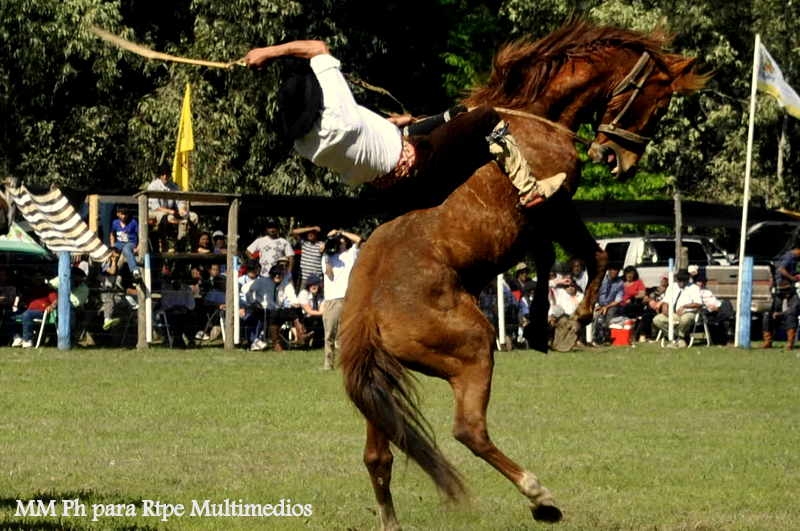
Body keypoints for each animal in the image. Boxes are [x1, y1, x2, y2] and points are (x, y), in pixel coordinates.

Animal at [338, 20, 708, 531]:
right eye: (659, 102)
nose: (617, 159)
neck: (530, 117)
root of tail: (369, 313)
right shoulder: (556, 206)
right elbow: (593, 257)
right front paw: (577, 320)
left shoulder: (538, 225)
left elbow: (550, 259)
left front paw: (539, 326)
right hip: (473, 349)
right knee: (468, 430)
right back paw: (540, 496)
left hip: (379, 382)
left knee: (380, 454)